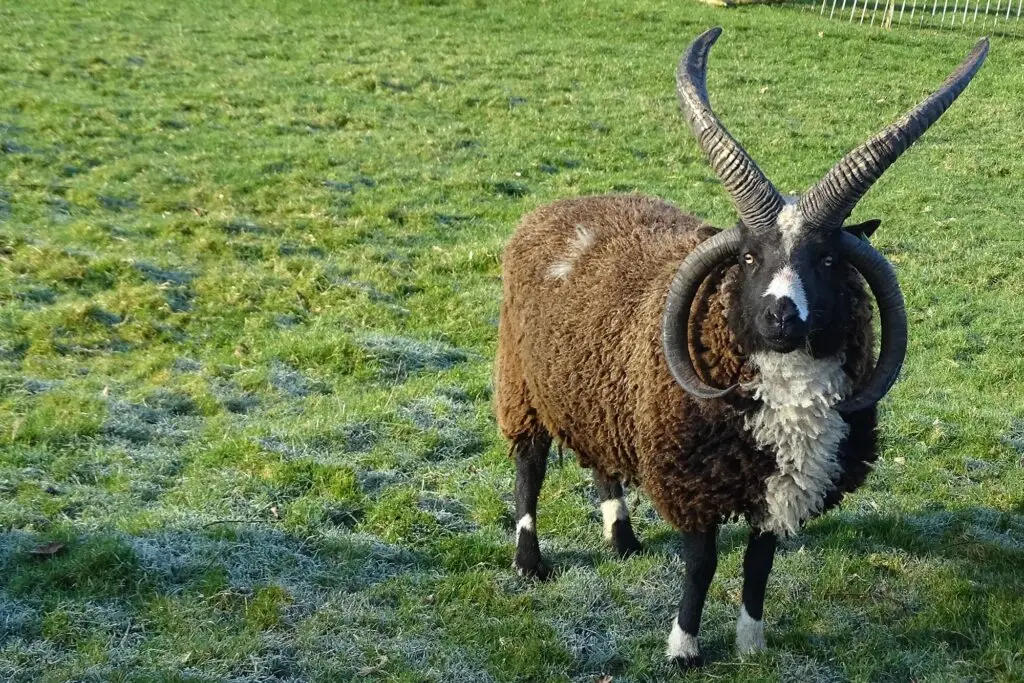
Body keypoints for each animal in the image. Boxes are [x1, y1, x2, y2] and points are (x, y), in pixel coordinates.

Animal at [494, 27, 988, 668]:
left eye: (827, 260)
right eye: (750, 257)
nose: (780, 315)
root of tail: (560, 206)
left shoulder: (779, 484)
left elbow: (759, 563)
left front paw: (752, 644)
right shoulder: (691, 481)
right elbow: (702, 565)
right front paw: (684, 649)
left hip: (597, 393)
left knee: (602, 461)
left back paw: (622, 539)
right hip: (522, 384)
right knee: (528, 468)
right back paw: (529, 562)